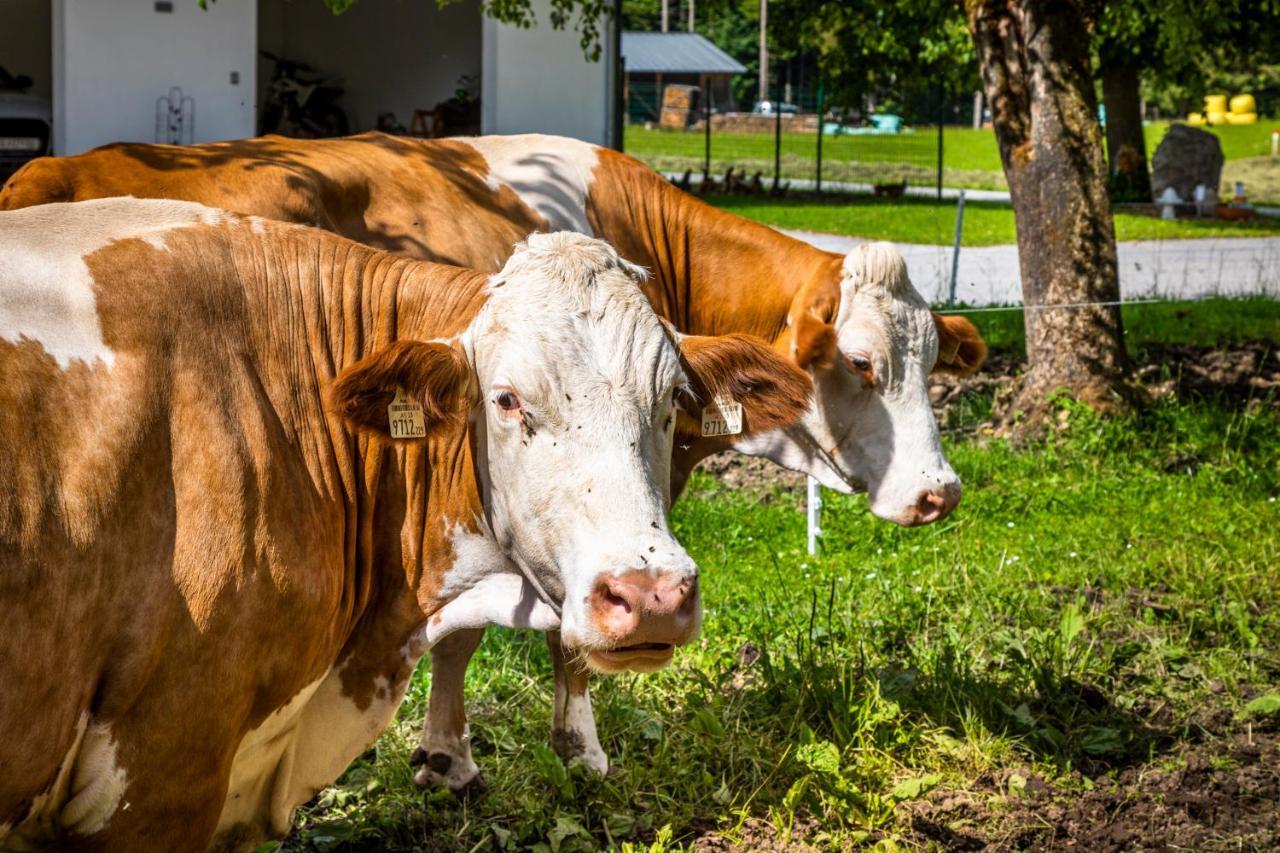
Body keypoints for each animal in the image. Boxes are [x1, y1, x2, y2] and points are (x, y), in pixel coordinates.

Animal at [0, 133, 988, 783]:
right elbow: (556, 632)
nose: (939, 493)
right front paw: (577, 748)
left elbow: (462, 634)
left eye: (932, 358)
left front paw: (444, 753)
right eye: (861, 362)